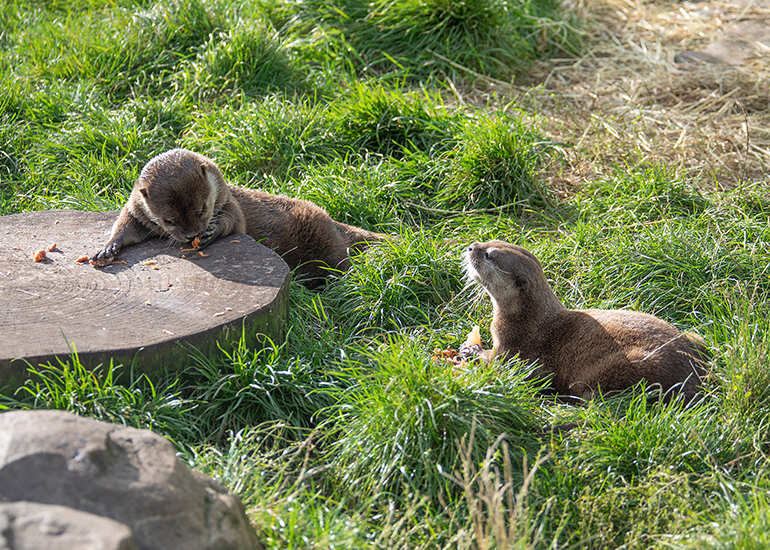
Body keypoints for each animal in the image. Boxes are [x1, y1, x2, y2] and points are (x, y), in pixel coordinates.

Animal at [92, 149, 383, 288]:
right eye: (169, 221)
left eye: (202, 209)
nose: (192, 235)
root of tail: (334, 222)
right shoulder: (136, 210)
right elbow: (125, 227)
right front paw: (108, 248)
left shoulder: (230, 201)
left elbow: (235, 222)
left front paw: (212, 232)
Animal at [462, 240, 707, 402]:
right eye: (489, 240)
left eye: (489, 255)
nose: (471, 247)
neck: (525, 318)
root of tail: (694, 377)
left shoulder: (517, 350)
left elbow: (502, 367)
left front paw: (472, 351)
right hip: (696, 337)